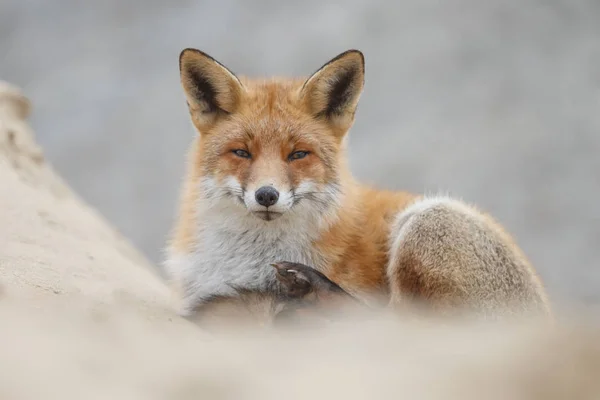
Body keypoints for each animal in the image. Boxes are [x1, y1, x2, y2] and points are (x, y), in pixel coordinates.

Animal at [164, 48, 552, 324]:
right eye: (242, 153)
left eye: (298, 154)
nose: (267, 195)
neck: (252, 263)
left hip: (428, 219)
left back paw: (320, 297)